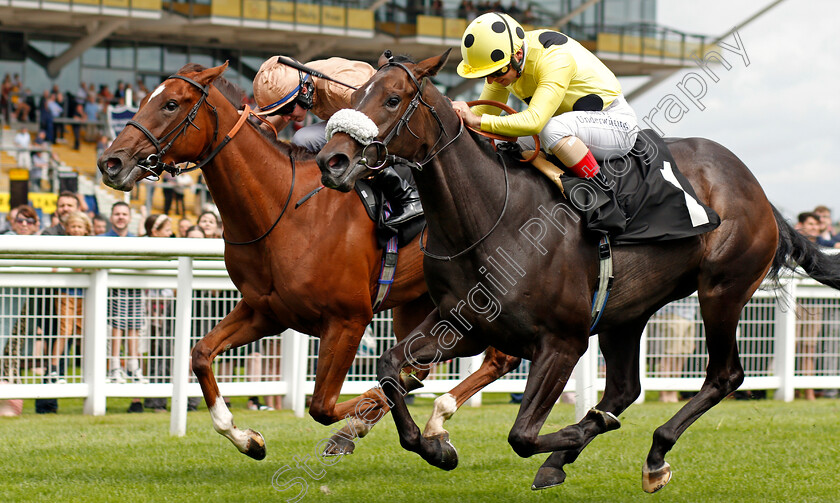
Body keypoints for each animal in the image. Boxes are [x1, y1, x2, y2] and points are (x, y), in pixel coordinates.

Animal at [95, 65, 520, 462]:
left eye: (170, 104)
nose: (109, 162)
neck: (283, 210)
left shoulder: (349, 319)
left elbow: (323, 406)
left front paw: (371, 407)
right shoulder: (266, 311)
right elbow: (200, 355)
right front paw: (247, 439)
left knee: (500, 357)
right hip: (418, 301)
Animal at [314, 51, 840, 492]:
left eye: (392, 98)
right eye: (351, 97)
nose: (331, 160)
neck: (493, 218)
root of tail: (757, 190)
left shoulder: (563, 342)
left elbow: (522, 435)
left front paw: (574, 429)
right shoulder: (465, 324)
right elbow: (390, 368)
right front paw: (436, 446)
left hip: (722, 290)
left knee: (724, 375)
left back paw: (651, 453)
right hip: (627, 313)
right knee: (626, 387)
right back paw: (572, 454)